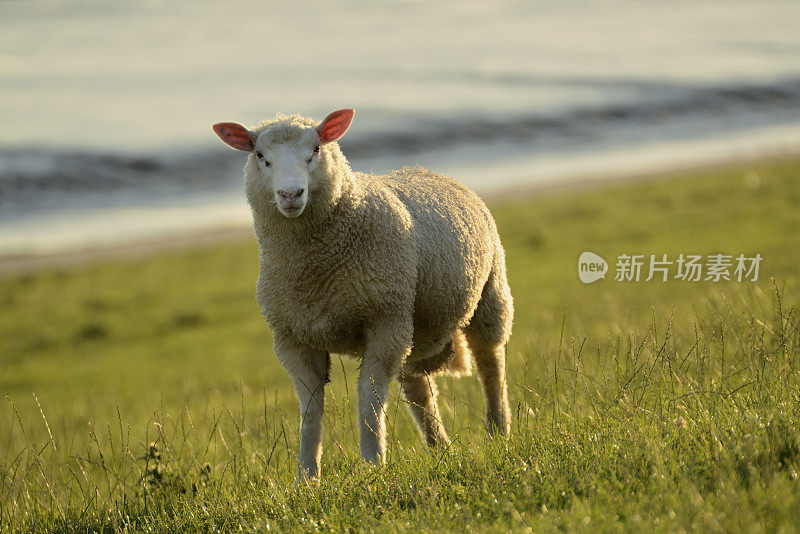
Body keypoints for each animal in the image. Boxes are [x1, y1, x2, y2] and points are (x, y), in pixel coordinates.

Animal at [212, 109, 512, 482]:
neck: (315, 270)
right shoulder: (292, 338)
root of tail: (426, 170)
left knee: (491, 365)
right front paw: (306, 477)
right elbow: (310, 410)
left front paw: (372, 464)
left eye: (315, 149)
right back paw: (440, 447)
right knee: (419, 389)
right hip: (412, 326)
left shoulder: (384, 322)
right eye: (260, 155)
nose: (291, 194)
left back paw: (498, 432)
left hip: (487, 296)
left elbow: (368, 399)